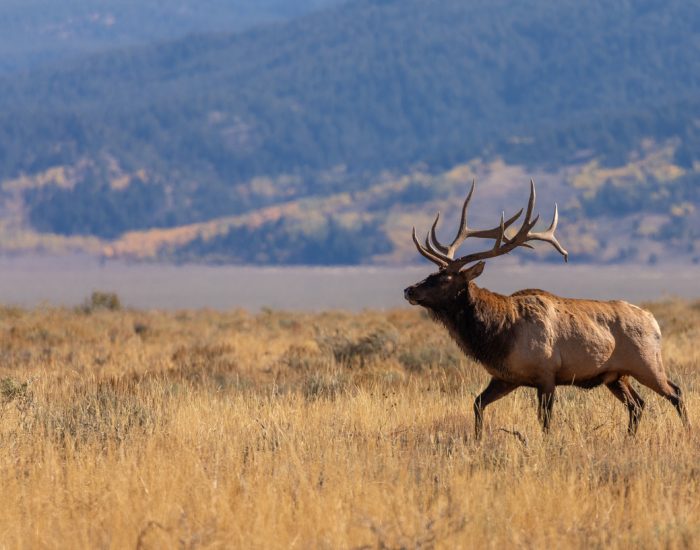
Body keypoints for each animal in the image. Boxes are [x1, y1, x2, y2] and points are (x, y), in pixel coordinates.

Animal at [403, 180, 689, 439]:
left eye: (446, 279)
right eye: (433, 273)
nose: (409, 290)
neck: (498, 335)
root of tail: (653, 321)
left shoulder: (546, 374)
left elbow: (546, 423)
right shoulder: (507, 377)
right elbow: (477, 404)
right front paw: (477, 441)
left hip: (647, 363)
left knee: (675, 392)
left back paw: (686, 433)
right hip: (616, 376)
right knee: (638, 405)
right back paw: (629, 439)